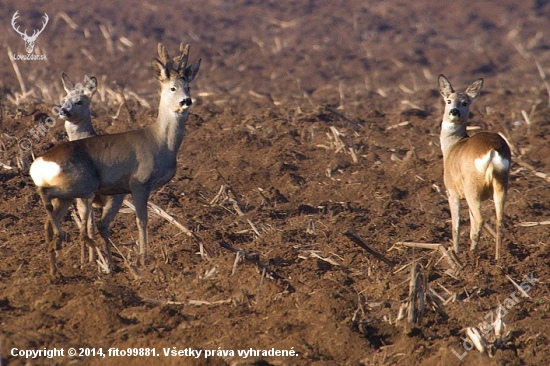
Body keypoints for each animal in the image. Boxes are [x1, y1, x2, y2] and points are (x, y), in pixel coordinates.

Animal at [59, 73, 126, 268]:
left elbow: (90, 227)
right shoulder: (83, 197)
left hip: (114, 197)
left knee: (102, 226)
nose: (63, 111)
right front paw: (86, 261)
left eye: (79, 101)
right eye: (63, 99)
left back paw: (111, 264)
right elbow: (87, 226)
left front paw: (93, 260)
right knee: (95, 226)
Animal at [440, 74, 512, 260]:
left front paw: (455, 253)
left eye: (465, 102)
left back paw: (470, 258)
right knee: (499, 220)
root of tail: (492, 151)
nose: (454, 112)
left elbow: (456, 226)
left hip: (471, 187)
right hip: (501, 183)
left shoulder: (452, 191)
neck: (451, 147)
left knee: (479, 220)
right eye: (448, 100)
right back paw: (497, 259)